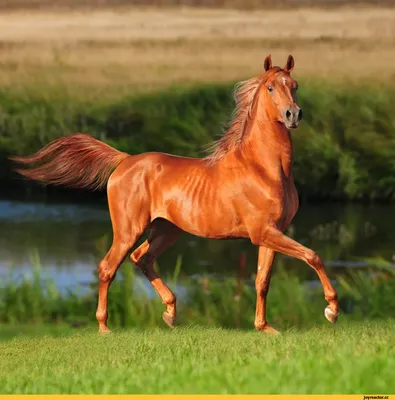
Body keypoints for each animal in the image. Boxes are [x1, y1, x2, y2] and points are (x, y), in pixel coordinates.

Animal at [11, 54, 340, 332]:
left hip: (167, 229)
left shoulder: (271, 232)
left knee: (141, 259)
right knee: (108, 267)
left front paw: (265, 328)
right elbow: (313, 256)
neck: (264, 168)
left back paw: (170, 313)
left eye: (294, 86)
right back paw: (105, 327)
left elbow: (263, 280)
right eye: (271, 87)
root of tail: (125, 160)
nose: (293, 114)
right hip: (129, 229)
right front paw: (331, 310)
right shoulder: (263, 232)